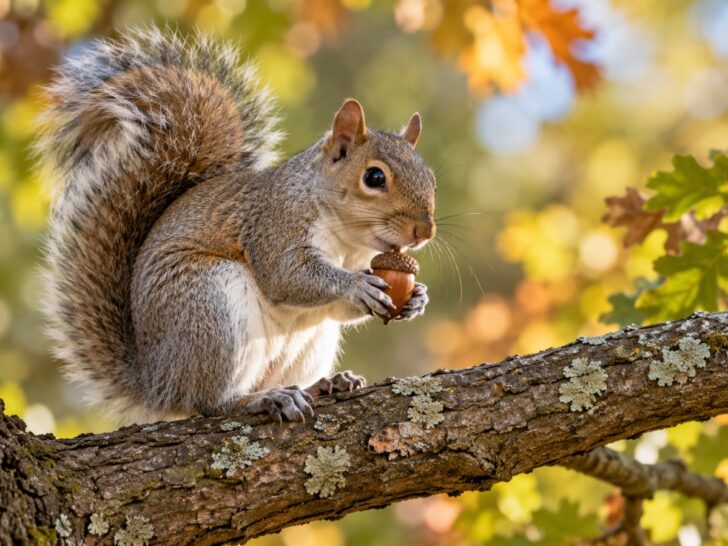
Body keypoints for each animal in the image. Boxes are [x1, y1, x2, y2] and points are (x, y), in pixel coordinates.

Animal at [39, 27, 436, 423]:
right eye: (374, 177)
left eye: (431, 178)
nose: (425, 232)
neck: (348, 240)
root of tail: (156, 381)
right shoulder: (275, 222)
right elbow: (286, 276)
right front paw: (355, 286)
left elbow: (339, 308)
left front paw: (417, 297)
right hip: (210, 308)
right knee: (208, 402)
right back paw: (260, 400)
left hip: (310, 341)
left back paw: (323, 384)